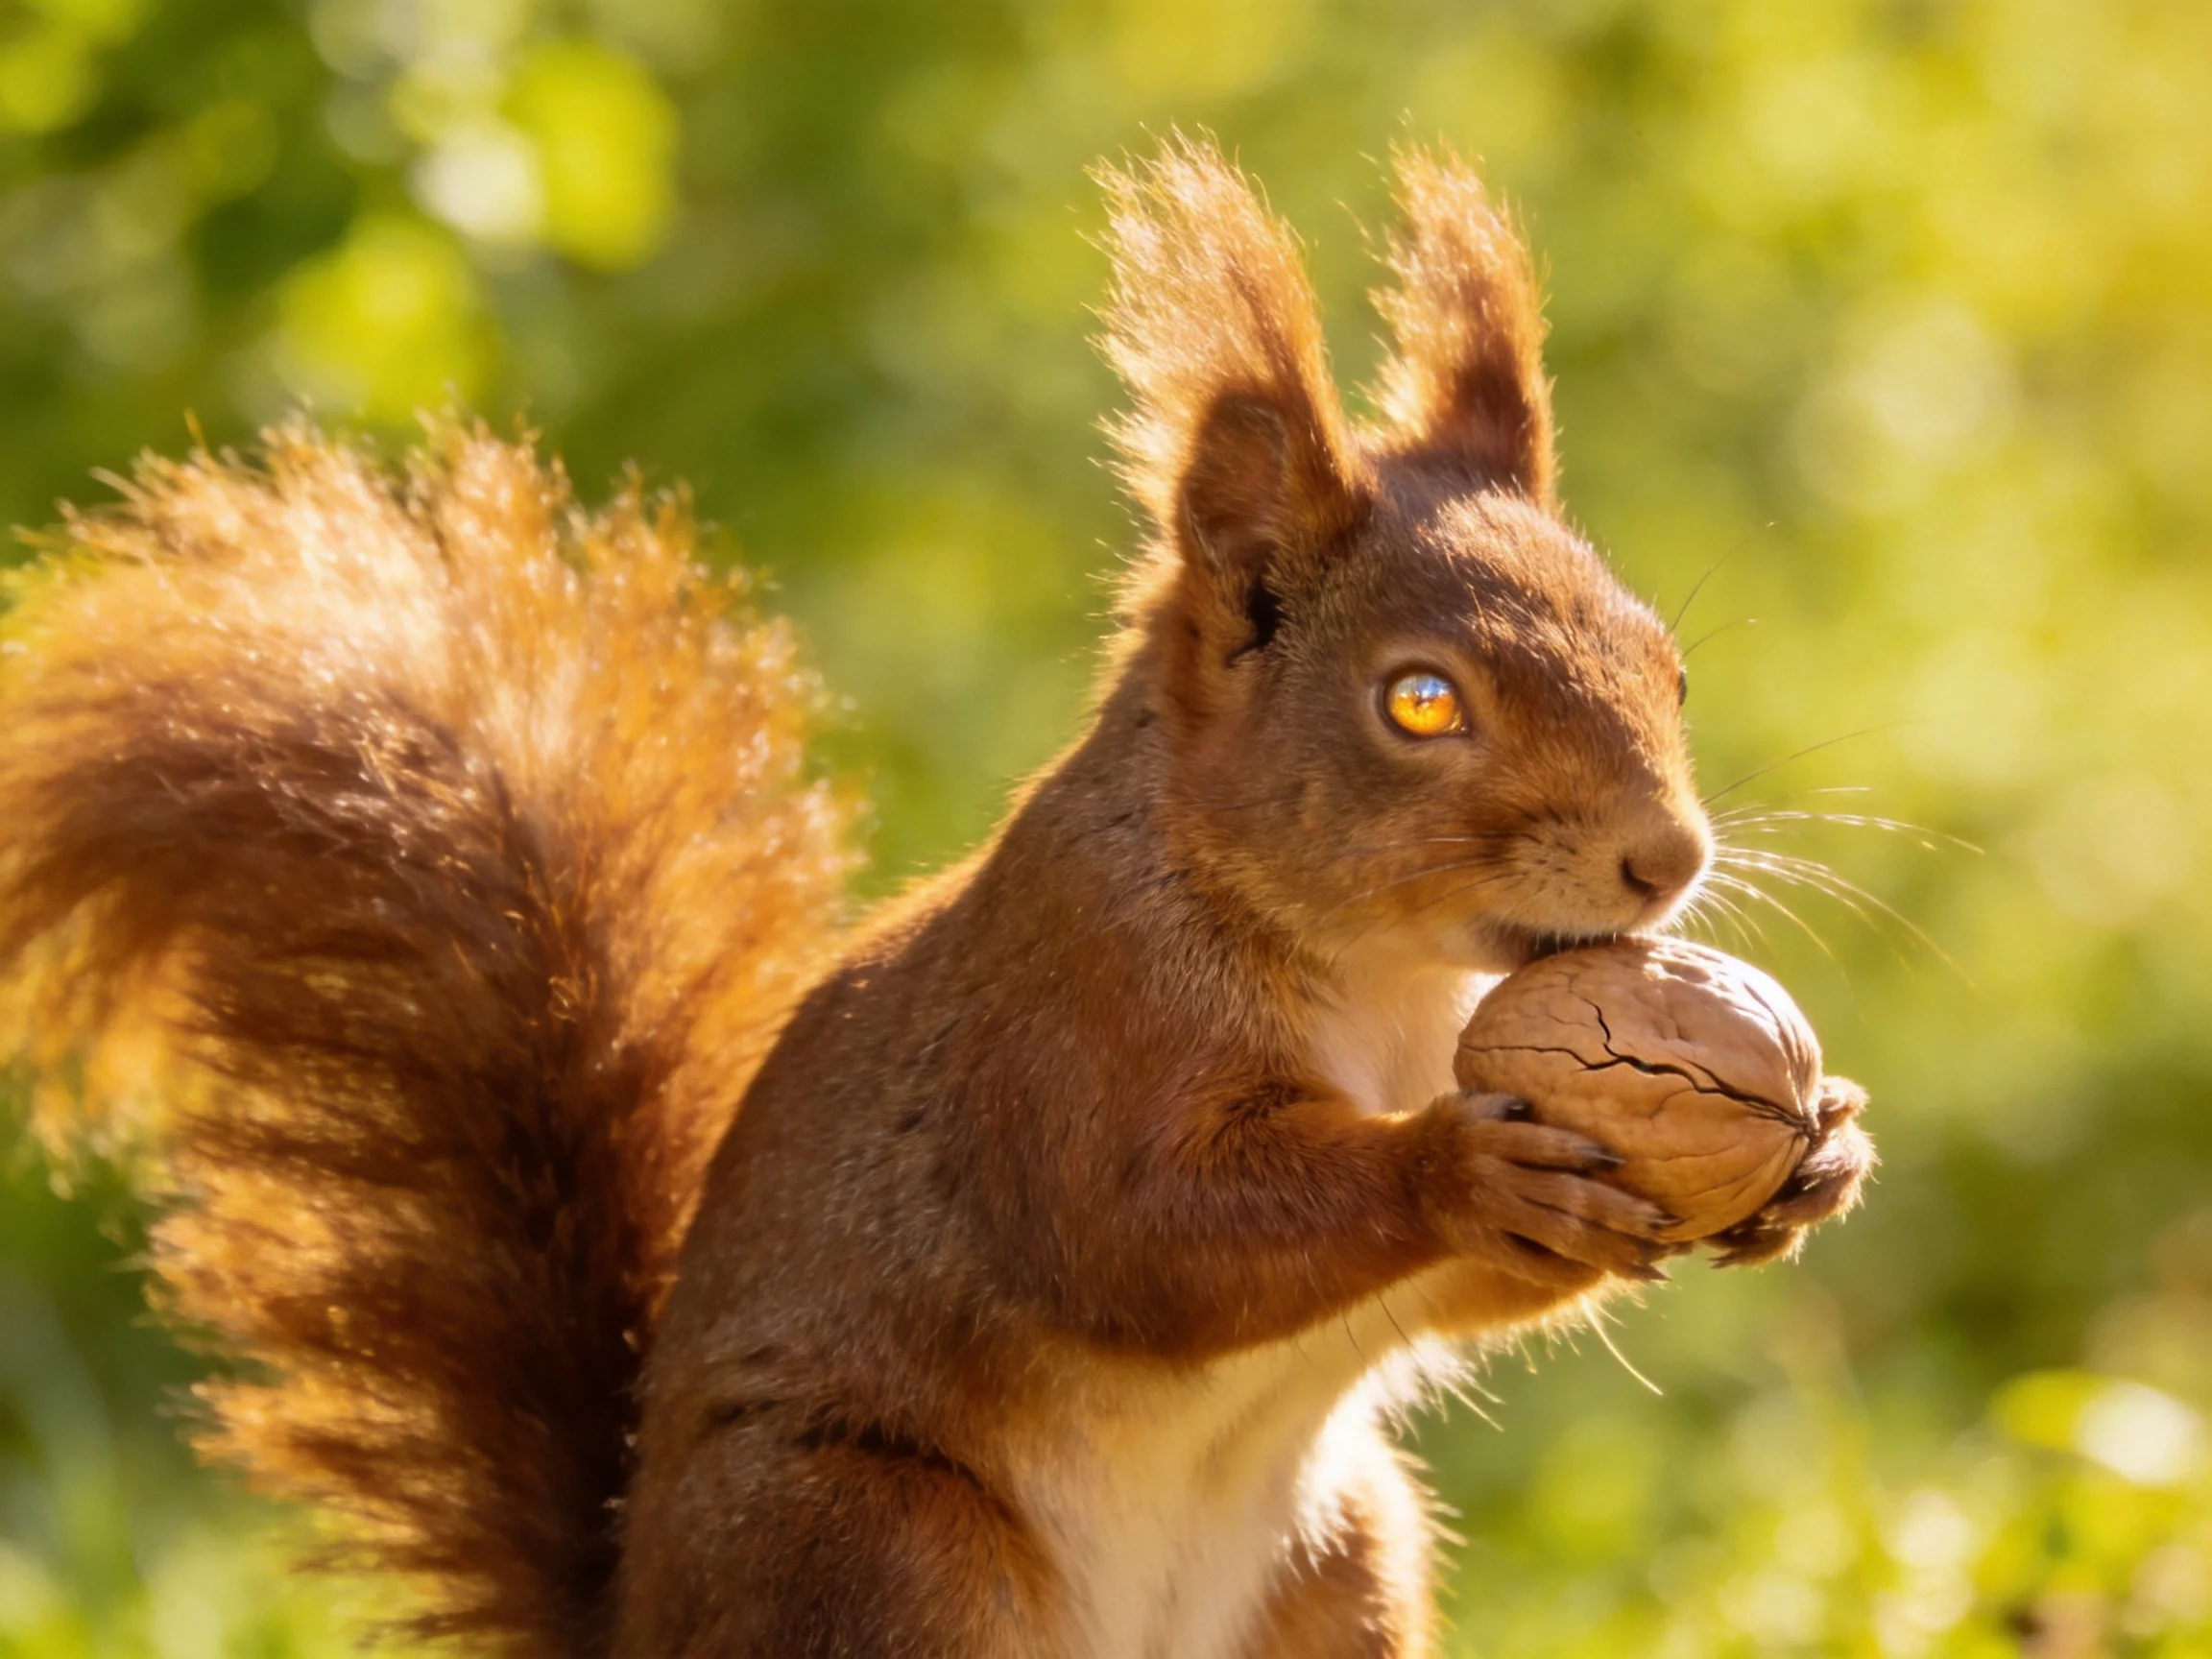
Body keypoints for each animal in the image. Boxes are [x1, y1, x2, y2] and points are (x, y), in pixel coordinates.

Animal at [0, 139, 1870, 1658]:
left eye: (1667, 658)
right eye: (1417, 702)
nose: (1666, 860)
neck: (1391, 983)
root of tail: (641, 1626)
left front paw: (1818, 1151)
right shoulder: (1068, 1023)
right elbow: (1142, 1234)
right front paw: (1461, 1168)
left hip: (1340, 1556)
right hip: (874, 1544)